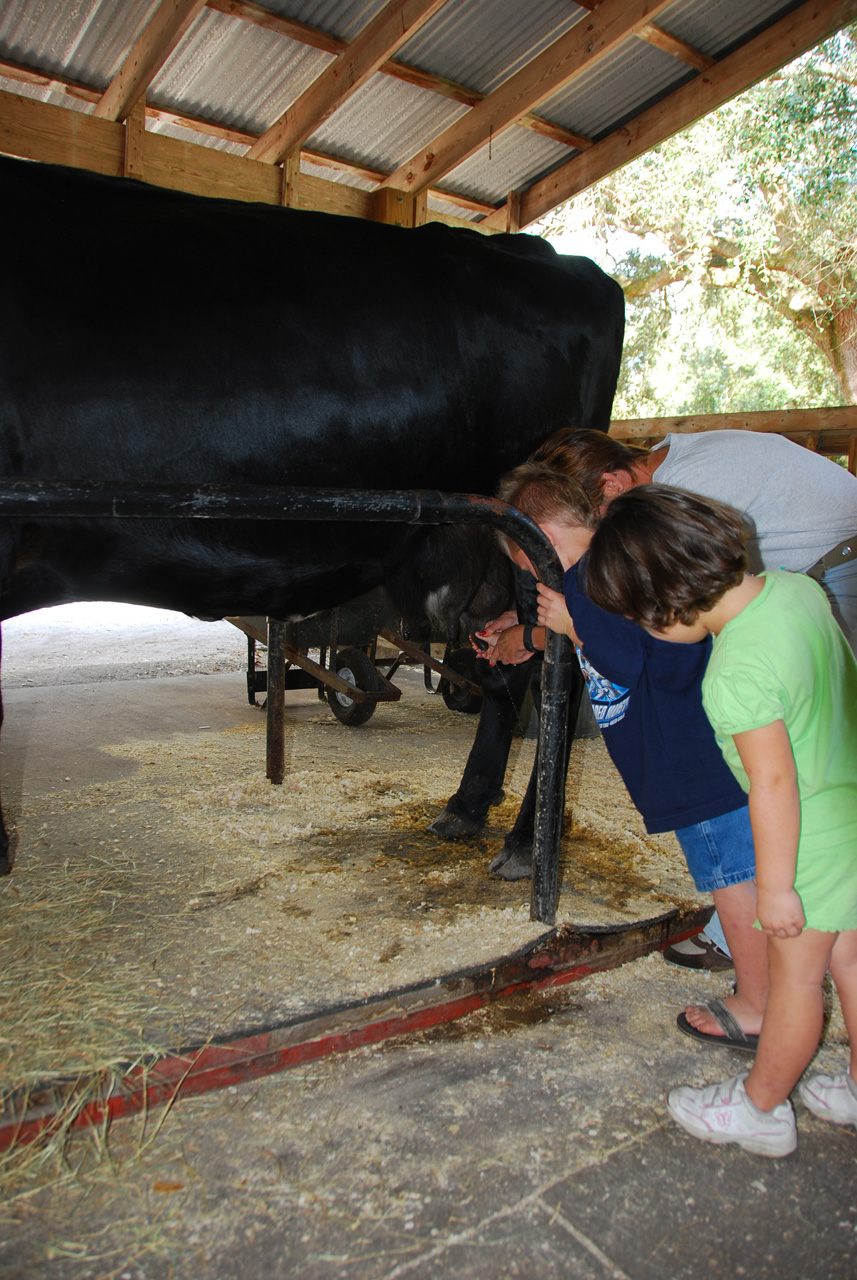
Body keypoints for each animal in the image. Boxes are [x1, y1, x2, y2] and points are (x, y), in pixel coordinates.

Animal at [0, 147, 624, 870]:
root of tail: (546, 252)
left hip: (541, 547)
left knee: (559, 677)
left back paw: (526, 843)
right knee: (505, 670)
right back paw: (467, 809)